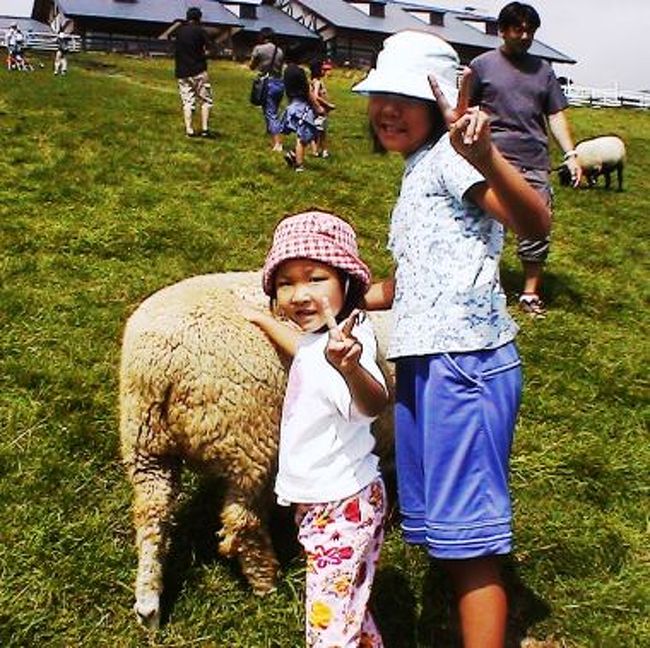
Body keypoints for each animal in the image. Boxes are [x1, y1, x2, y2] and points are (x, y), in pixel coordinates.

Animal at [119, 270, 392, 632]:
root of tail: (162, 363)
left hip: (145, 442)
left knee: (152, 513)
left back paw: (148, 607)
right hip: (247, 441)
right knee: (241, 521)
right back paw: (266, 583)